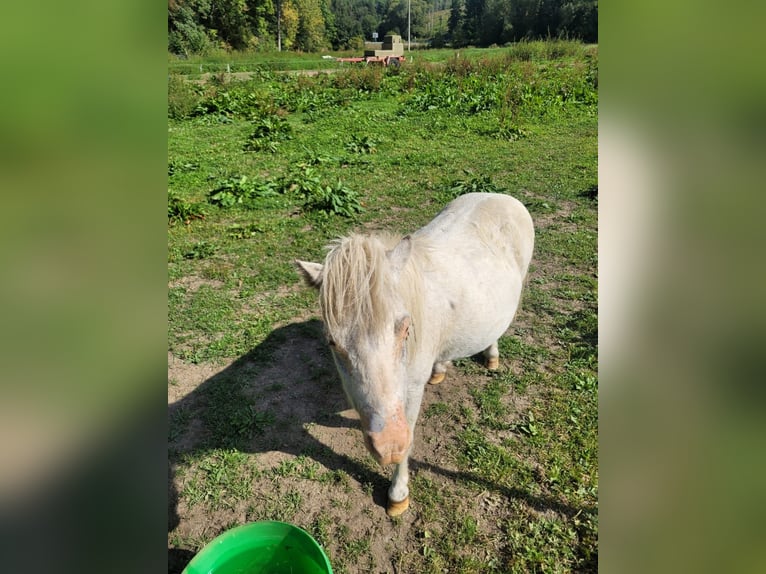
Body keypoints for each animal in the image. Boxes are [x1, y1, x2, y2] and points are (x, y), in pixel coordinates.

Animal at [296, 192, 536, 516]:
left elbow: (409, 437)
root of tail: (499, 195)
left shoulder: (410, 392)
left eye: (405, 328)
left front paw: (398, 494)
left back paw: (492, 356)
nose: (388, 446)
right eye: (332, 343)